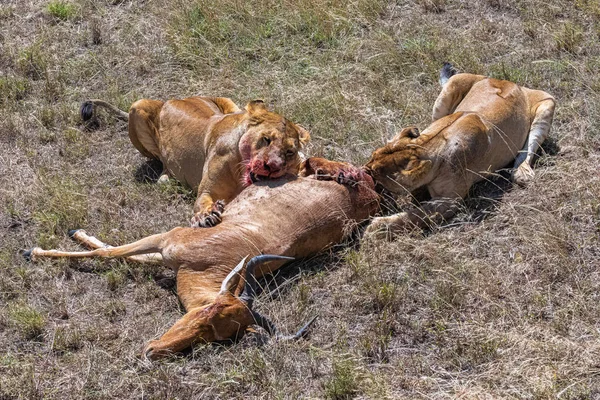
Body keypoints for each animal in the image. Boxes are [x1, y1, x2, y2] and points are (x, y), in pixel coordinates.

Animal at [25, 159, 380, 360]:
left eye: (218, 337)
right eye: (205, 313)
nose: (152, 351)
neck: (224, 252)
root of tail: (369, 194)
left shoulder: (169, 252)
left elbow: (118, 255)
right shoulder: (168, 240)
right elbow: (110, 252)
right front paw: (38, 249)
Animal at [81, 97, 310, 227]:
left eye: (289, 151)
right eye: (266, 139)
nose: (272, 167)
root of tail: (170, 100)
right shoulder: (207, 190)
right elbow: (202, 202)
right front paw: (206, 216)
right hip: (137, 107)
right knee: (160, 160)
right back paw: (165, 178)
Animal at [364, 62, 556, 238]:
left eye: (375, 174)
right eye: (371, 157)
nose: (364, 170)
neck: (427, 146)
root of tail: (506, 80)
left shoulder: (451, 201)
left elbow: (416, 215)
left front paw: (376, 228)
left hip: (547, 102)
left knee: (529, 147)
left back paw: (522, 172)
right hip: (451, 87)